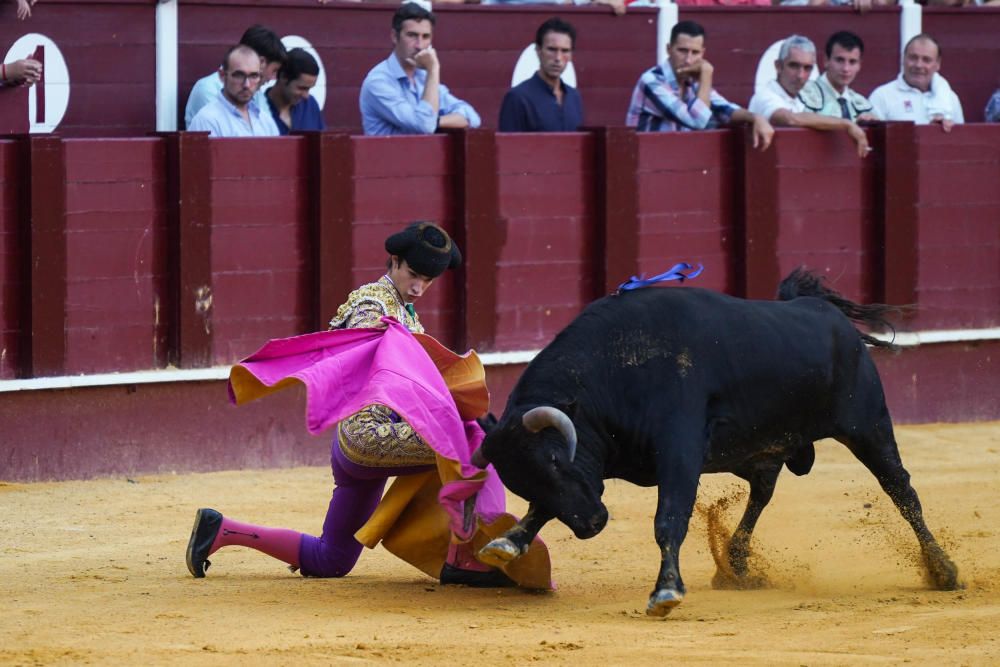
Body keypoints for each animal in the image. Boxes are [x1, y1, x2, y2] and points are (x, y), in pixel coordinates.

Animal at [474, 268, 960, 620]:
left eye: (557, 460)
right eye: (521, 481)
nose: (593, 524)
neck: (614, 369)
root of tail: (825, 311)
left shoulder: (679, 450)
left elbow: (669, 518)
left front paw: (666, 591)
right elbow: (544, 509)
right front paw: (507, 543)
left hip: (869, 426)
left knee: (901, 491)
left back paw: (943, 570)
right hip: (762, 449)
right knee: (763, 493)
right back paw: (737, 564)